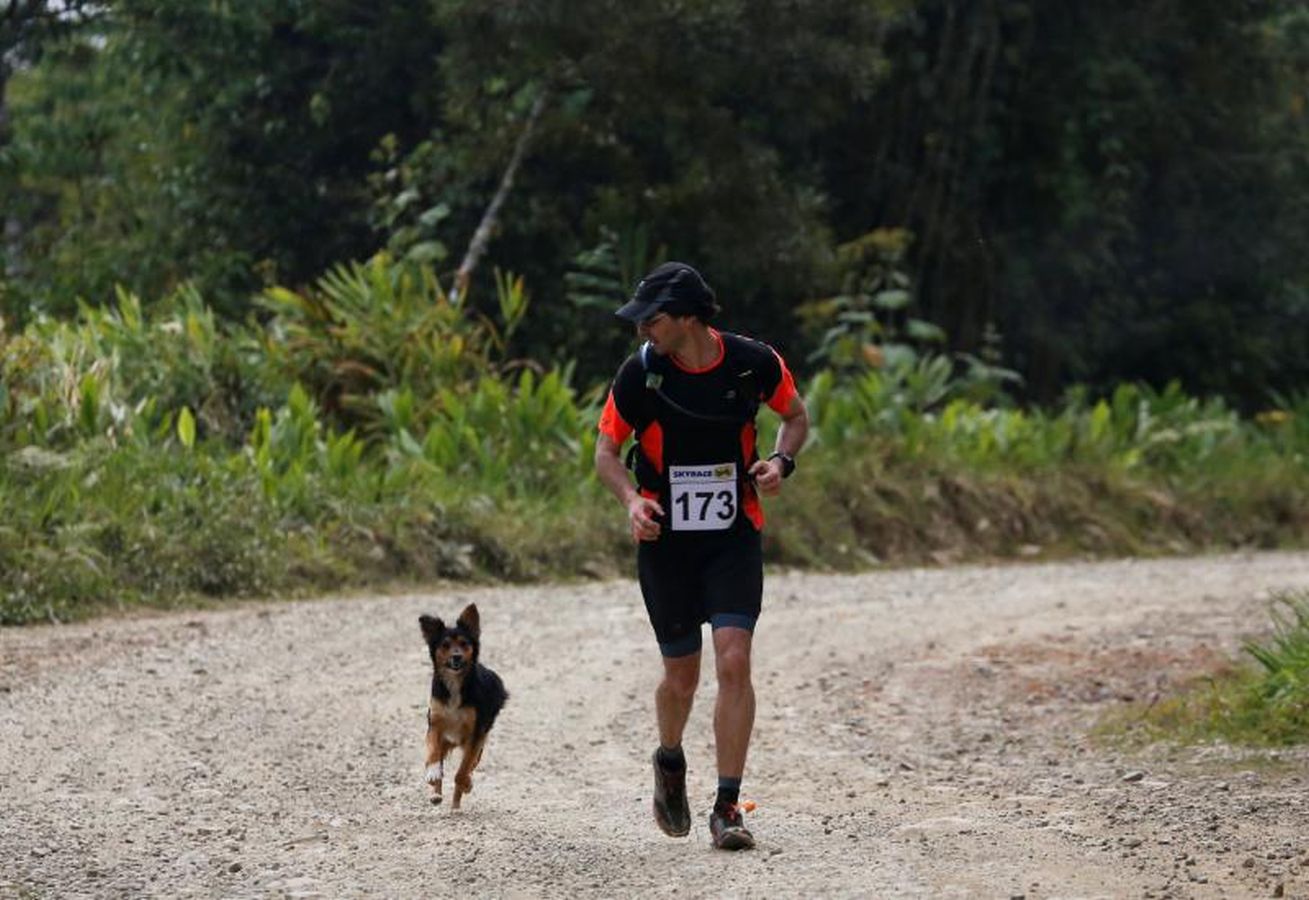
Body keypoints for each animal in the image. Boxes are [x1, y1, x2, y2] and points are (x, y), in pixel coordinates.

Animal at [418, 604, 505, 811]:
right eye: (445, 645)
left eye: (464, 644)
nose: (456, 657)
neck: (455, 683)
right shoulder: (435, 724)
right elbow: (432, 755)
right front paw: (432, 772)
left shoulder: (476, 734)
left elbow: (463, 770)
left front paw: (465, 785)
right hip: (446, 741)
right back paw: (436, 794)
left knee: (469, 766)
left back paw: (459, 797)